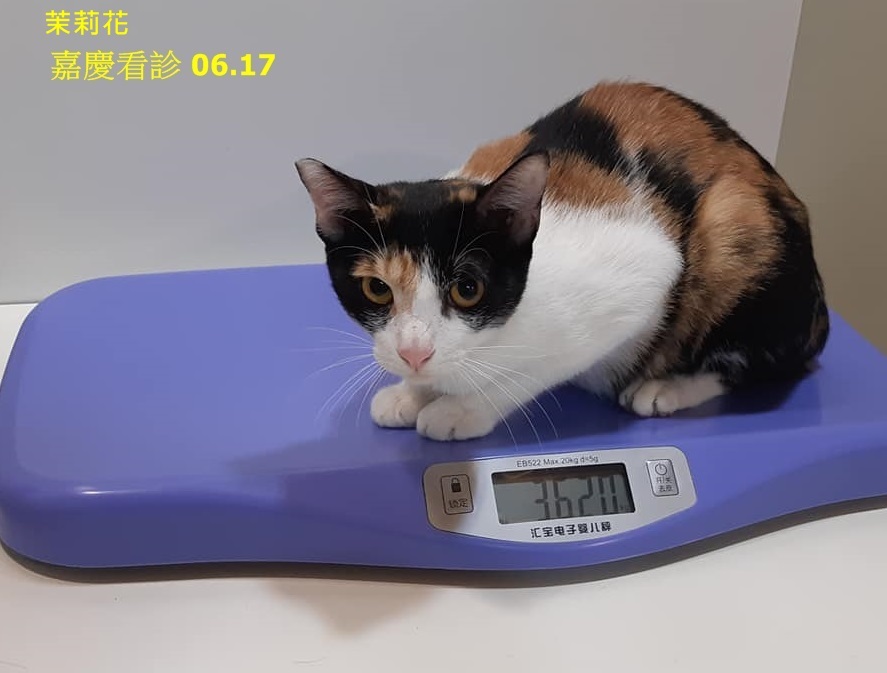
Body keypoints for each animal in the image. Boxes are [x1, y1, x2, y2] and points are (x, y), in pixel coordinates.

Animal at [294, 80, 829, 442]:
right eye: (377, 288)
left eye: (468, 289)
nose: (414, 354)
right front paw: (411, 392)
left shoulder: (640, 281)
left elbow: (532, 371)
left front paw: (460, 409)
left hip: (737, 230)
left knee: (760, 363)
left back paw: (666, 388)